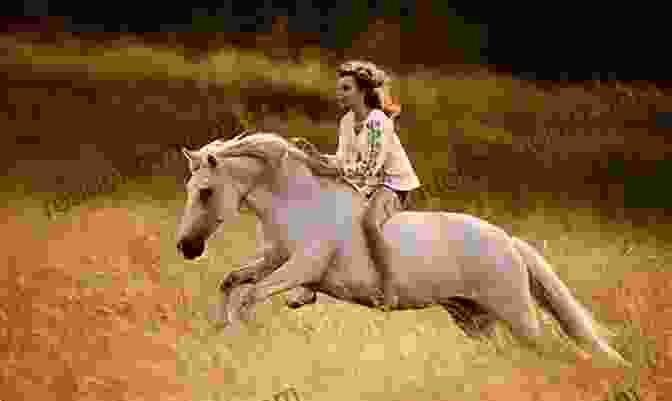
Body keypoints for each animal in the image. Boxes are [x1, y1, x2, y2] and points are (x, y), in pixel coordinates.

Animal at [177, 131, 632, 366]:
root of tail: (509, 242)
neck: (299, 202)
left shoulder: (301, 268)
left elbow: (251, 294)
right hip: (473, 317)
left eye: (205, 191)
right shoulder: (273, 260)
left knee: (551, 350)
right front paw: (220, 330)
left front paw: (239, 334)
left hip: (518, 316)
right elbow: (232, 281)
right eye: (189, 188)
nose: (186, 247)